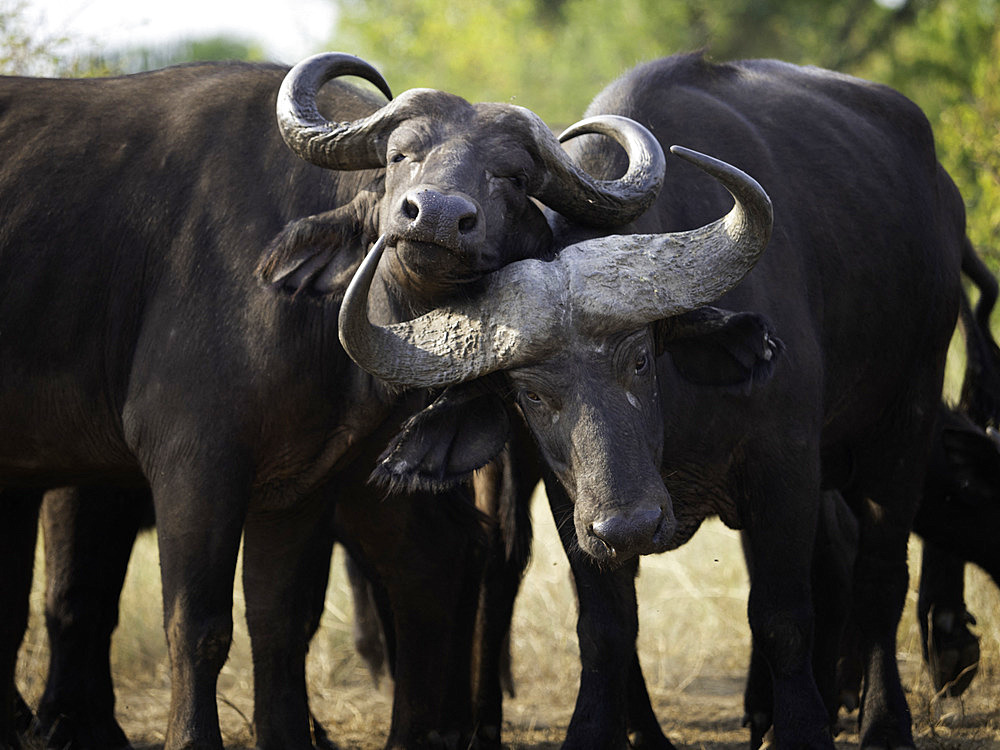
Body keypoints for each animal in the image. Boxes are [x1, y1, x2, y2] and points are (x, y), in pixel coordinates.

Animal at [3, 54, 668, 750]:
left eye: (512, 175)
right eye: (402, 155)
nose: (432, 216)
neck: (312, 326)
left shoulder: (297, 486)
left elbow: (277, 623)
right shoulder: (194, 465)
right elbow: (196, 624)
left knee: (436, 557)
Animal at [338, 51, 992, 748]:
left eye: (640, 358)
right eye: (532, 394)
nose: (631, 525)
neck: (673, 426)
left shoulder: (787, 464)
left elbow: (783, 613)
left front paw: (800, 727)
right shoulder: (575, 505)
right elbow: (605, 629)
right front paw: (592, 730)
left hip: (908, 416)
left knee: (879, 576)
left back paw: (883, 720)